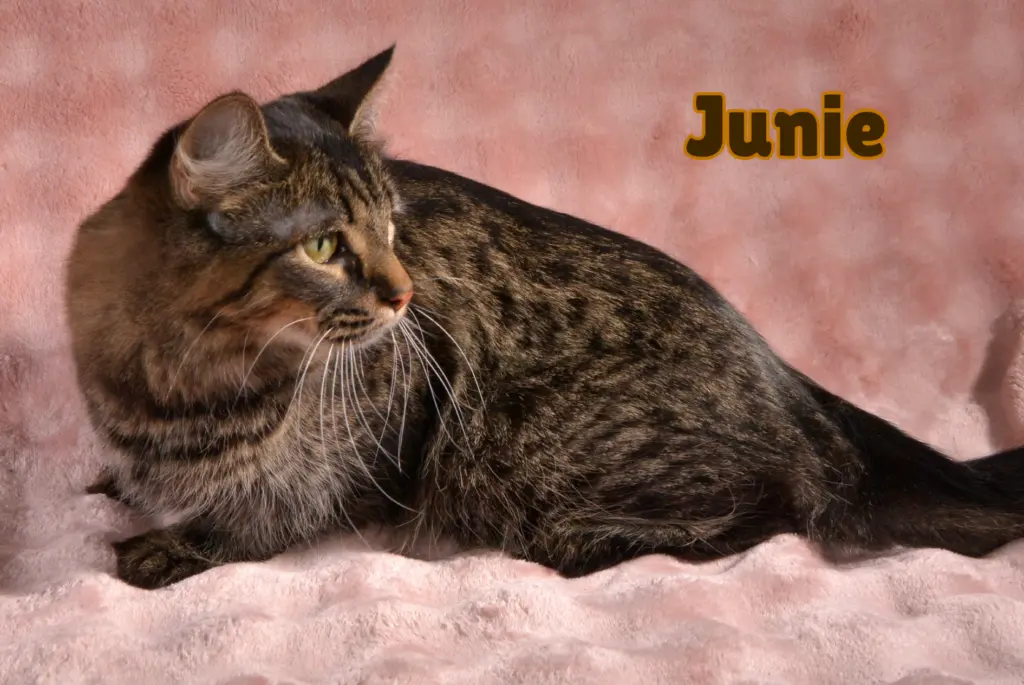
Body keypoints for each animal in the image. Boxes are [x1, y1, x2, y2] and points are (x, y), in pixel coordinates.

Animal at [66, 46, 1024, 590]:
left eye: (392, 228)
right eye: (327, 246)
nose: (405, 294)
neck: (177, 375)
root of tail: (797, 386)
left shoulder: (381, 434)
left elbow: (268, 515)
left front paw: (173, 544)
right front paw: (122, 485)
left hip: (522, 441)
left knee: (785, 512)